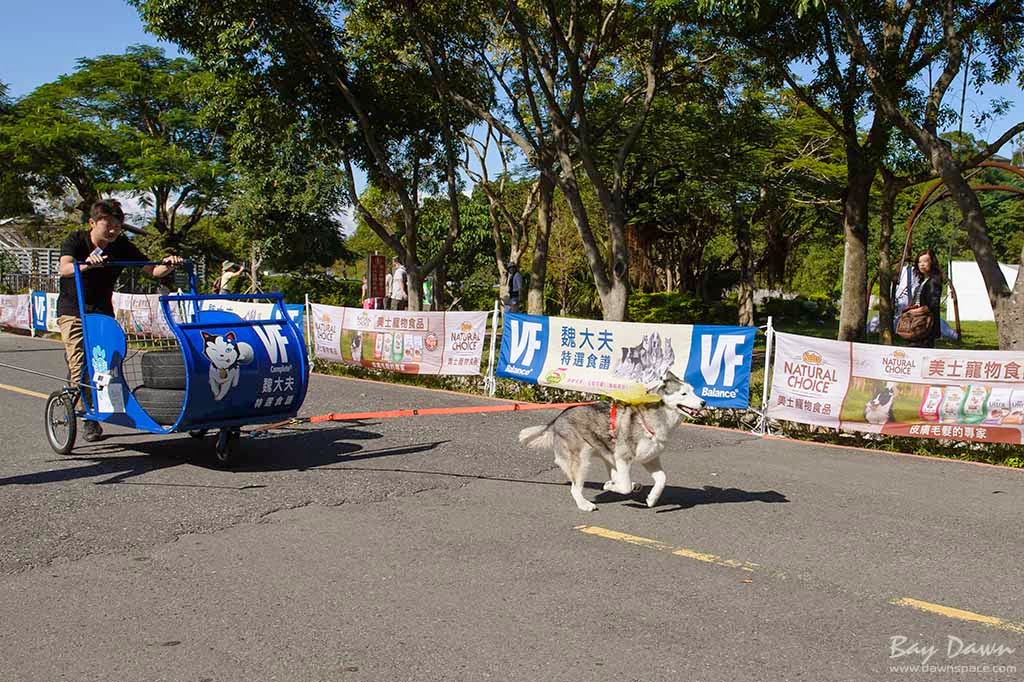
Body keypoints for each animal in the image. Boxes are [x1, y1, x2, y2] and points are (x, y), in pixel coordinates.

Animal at [520, 372, 704, 509]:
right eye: (684, 394)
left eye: (693, 390)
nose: (703, 402)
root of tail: (557, 418)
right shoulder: (623, 457)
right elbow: (625, 487)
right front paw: (610, 486)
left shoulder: (649, 458)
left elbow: (662, 478)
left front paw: (652, 499)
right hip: (582, 461)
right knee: (575, 488)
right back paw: (585, 504)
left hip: (607, 454)